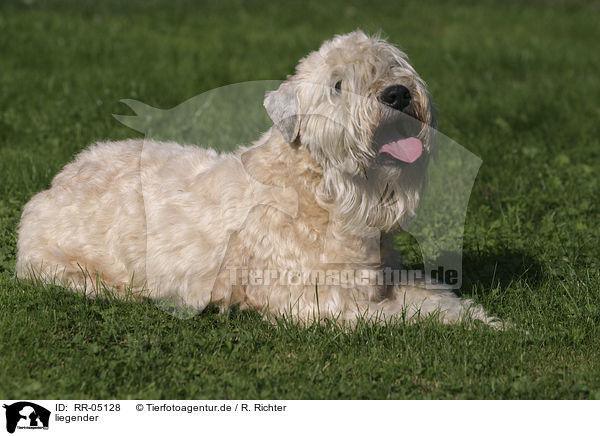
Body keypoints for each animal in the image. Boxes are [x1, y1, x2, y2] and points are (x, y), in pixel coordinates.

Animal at [16, 31, 500, 324]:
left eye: (392, 63)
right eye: (337, 85)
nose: (397, 94)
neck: (322, 191)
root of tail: (55, 181)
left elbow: (434, 297)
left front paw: (487, 320)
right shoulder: (324, 301)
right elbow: (408, 315)